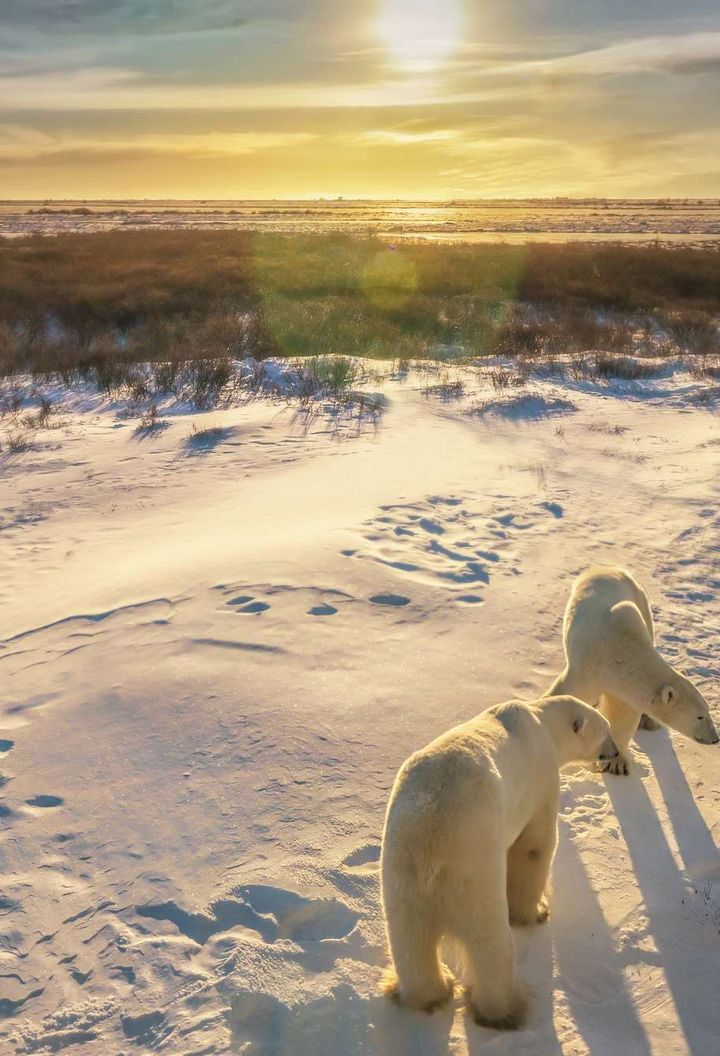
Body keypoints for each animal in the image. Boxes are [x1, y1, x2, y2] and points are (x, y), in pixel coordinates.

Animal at [377, 692, 612, 1030]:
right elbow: (534, 846)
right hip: (474, 868)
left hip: (400, 870)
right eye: (605, 730)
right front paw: (536, 912)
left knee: (410, 939)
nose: (614, 753)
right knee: (489, 942)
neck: (541, 721)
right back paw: (506, 1008)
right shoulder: (541, 777)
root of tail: (431, 845)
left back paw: (432, 992)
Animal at [544, 566, 713, 772]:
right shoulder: (588, 668)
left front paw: (616, 763)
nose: (715, 738)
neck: (622, 651)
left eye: (707, 711)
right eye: (700, 717)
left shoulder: (623, 684)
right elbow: (567, 692)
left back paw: (648, 721)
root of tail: (604, 567)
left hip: (642, 603)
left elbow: (624, 713)